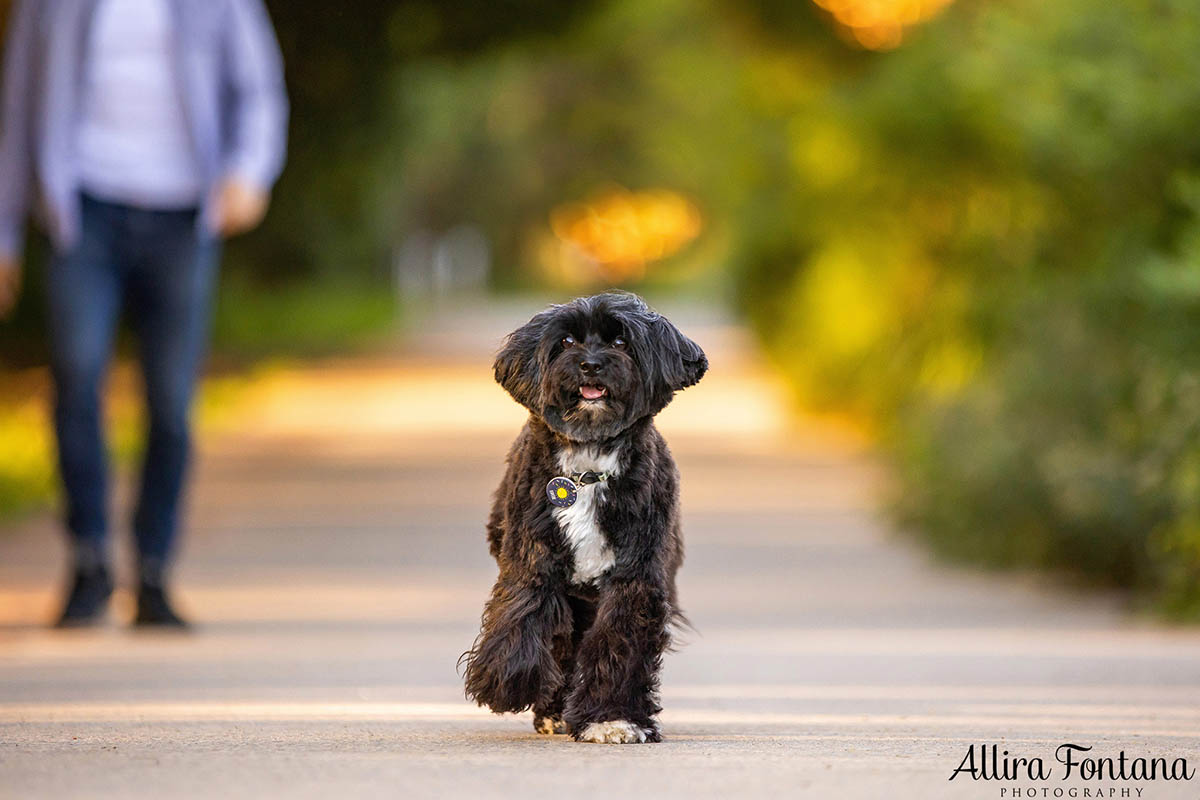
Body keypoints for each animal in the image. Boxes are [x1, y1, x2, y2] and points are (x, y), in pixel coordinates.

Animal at [458, 292, 700, 743]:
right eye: (567, 341)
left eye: (621, 343)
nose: (590, 364)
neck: (588, 467)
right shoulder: (533, 560)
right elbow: (521, 614)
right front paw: (508, 682)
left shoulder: (634, 577)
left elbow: (619, 643)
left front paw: (612, 718)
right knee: (560, 643)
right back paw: (552, 709)